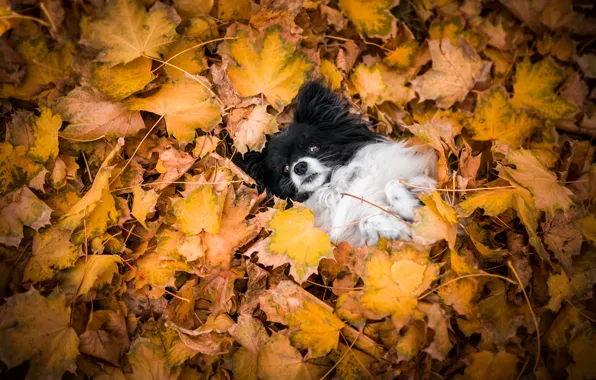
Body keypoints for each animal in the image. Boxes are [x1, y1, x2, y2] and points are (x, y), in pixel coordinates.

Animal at [235, 81, 436, 245]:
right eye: (285, 169)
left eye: (314, 147)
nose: (299, 166)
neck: (335, 185)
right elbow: (365, 222)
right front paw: (394, 227)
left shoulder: (427, 177)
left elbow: (392, 184)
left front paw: (407, 208)